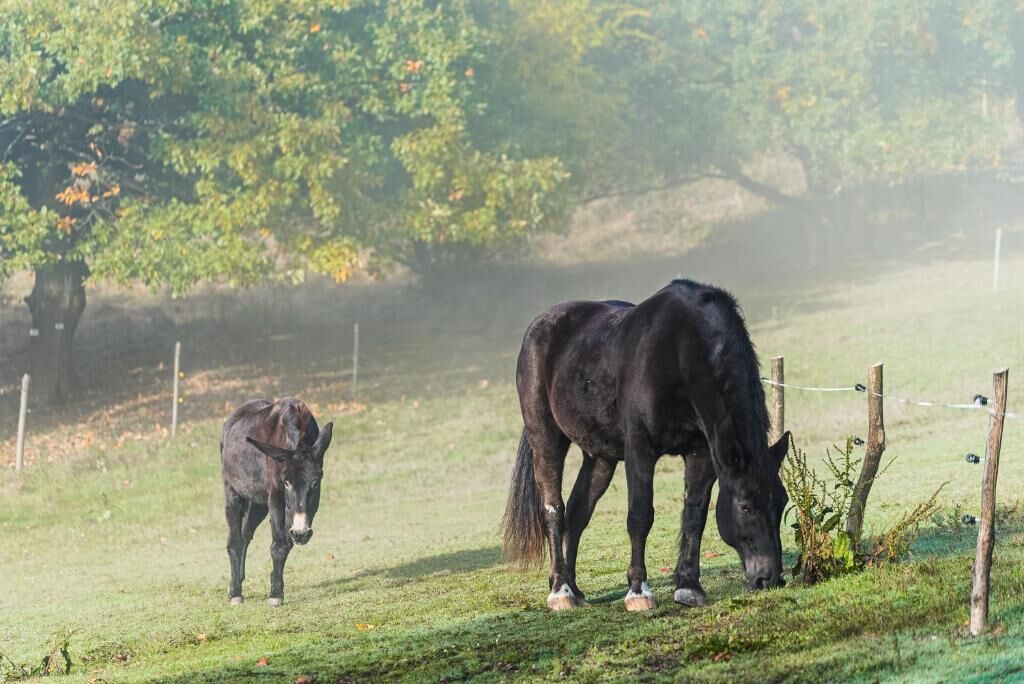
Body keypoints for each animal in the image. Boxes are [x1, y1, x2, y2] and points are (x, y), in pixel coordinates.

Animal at [220, 397, 334, 607]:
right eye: (286, 482)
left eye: (315, 482)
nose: (301, 534)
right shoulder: (276, 497)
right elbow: (278, 545)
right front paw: (275, 595)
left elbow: (285, 543)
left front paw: (275, 585)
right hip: (233, 492)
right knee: (235, 540)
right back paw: (235, 592)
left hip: (259, 503)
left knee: (246, 533)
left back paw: (238, 579)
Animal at [502, 279, 791, 611]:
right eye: (746, 506)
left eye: (782, 502)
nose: (770, 578)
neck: (680, 352)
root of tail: (540, 325)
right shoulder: (640, 449)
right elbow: (640, 515)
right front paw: (638, 592)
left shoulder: (702, 453)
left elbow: (695, 514)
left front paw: (688, 587)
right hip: (546, 439)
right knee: (554, 510)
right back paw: (560, 591)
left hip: (600, 457)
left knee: (576, 515)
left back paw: (574, 589)